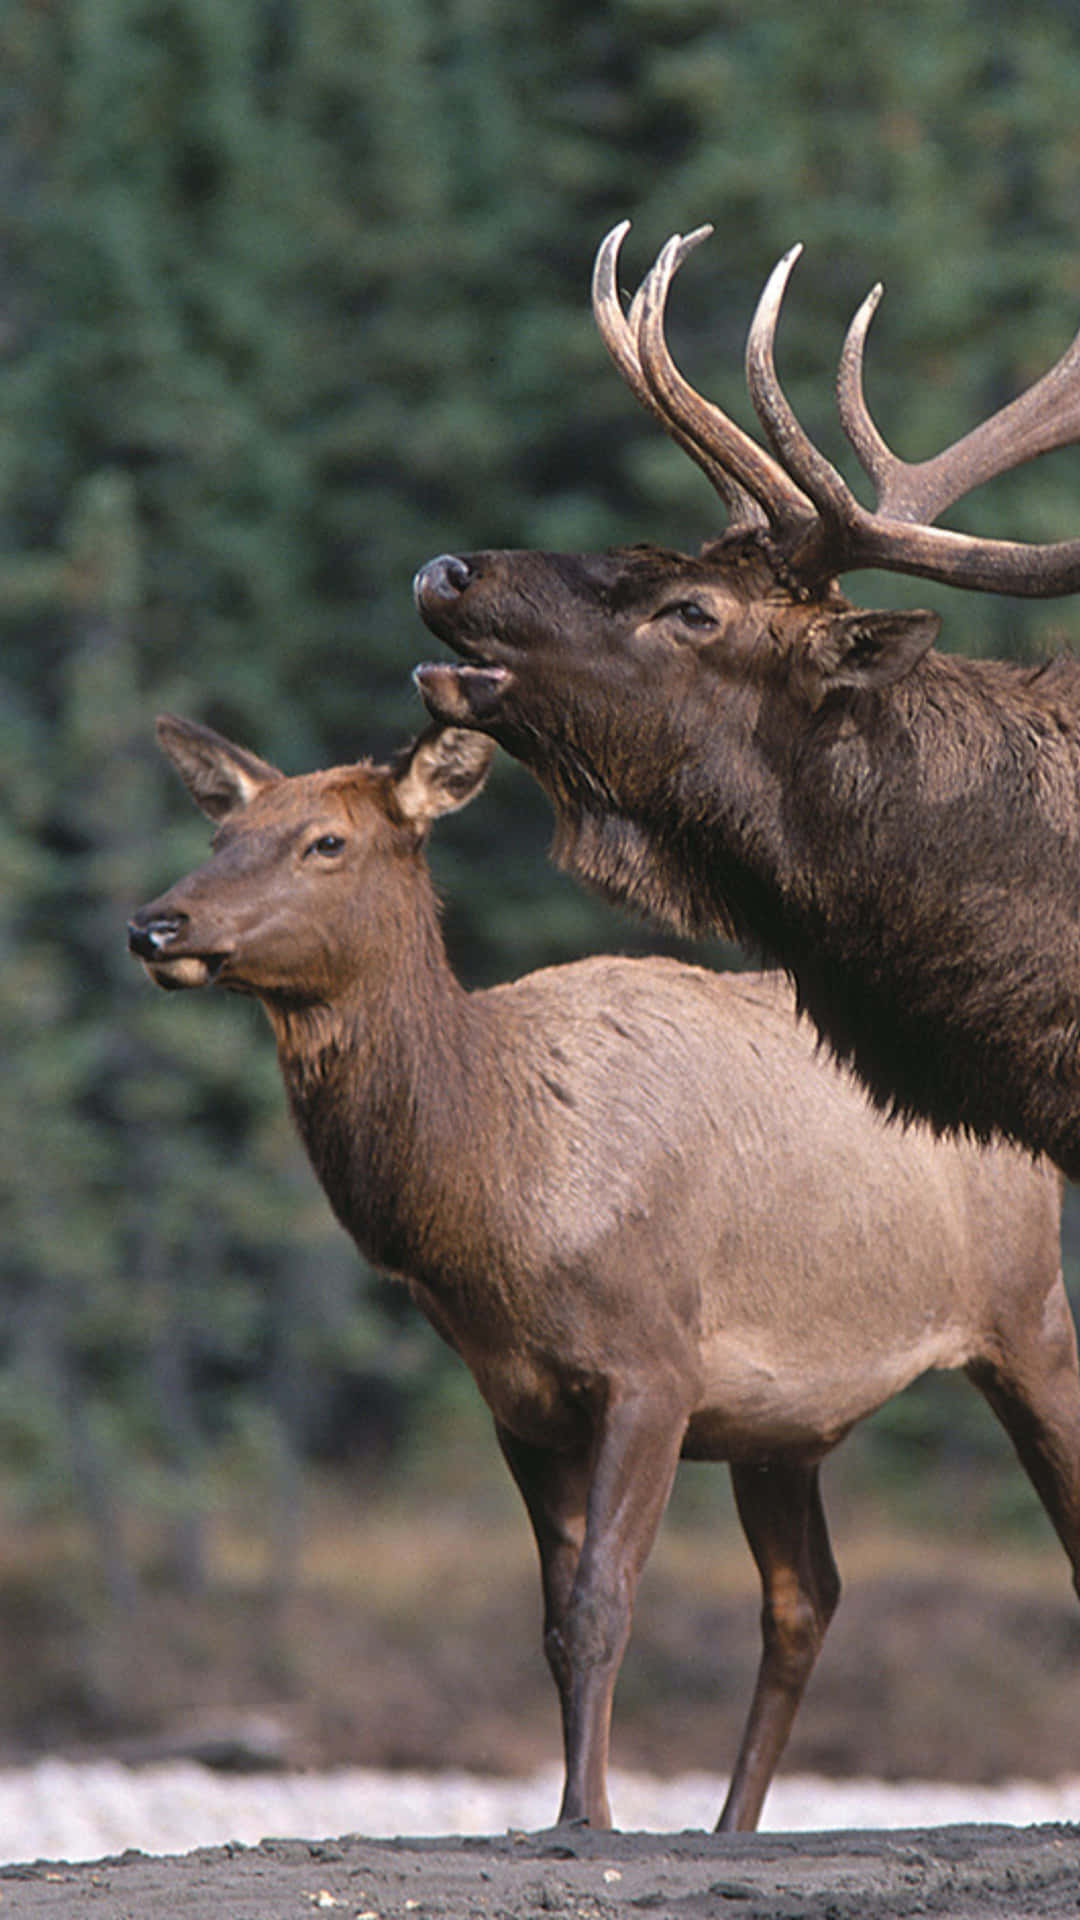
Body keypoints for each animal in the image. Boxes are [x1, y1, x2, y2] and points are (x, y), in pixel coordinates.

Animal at [128, 712, 1080, 1834]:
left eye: (326, 841)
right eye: (223, 830)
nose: (156, 925)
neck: (498, 1194)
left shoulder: (652, 1368)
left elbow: (601, 1602)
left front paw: (586, 1815)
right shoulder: (521, 1404)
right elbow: (552, 1620)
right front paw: (582, 1802)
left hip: (1026, 1314)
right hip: (781, 1425)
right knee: (804, 1599)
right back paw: (730, 1826)